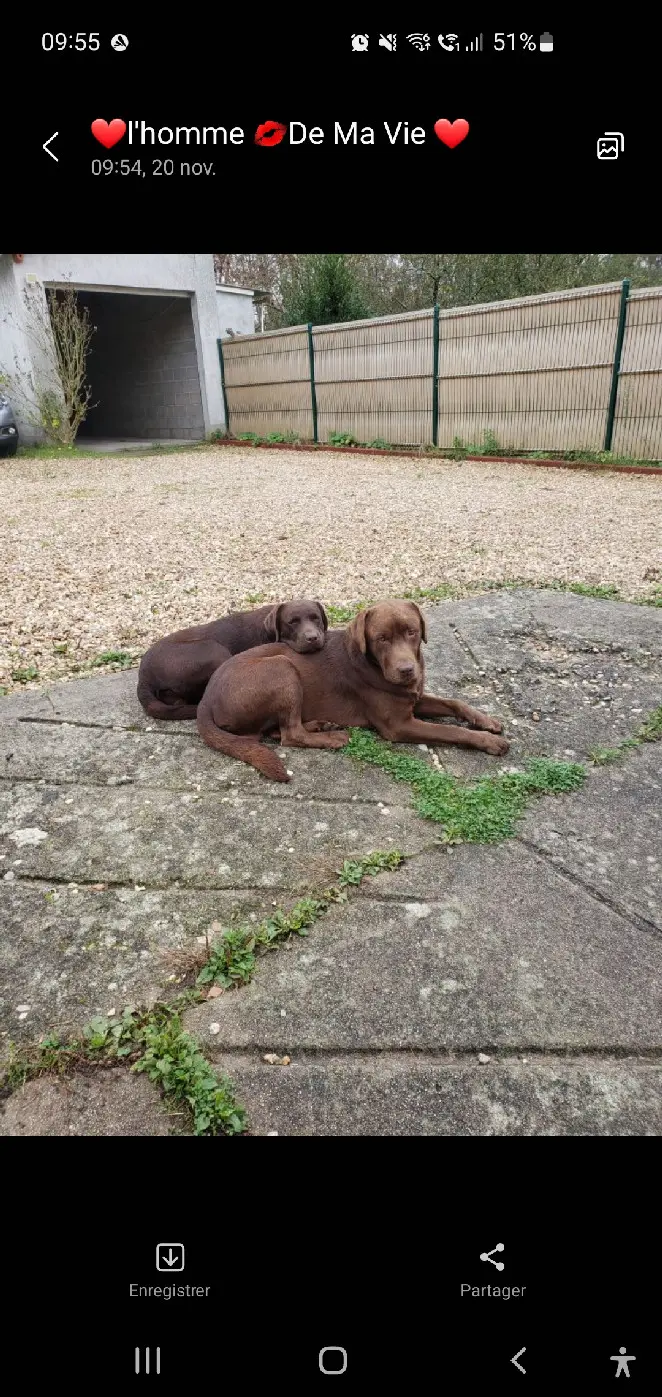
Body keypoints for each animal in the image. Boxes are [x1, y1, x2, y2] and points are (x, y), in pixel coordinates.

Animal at [195, 597, 505, 782]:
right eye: (381, 638)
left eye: (412, 632)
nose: (407, 670)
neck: (374, 664)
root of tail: (205, 701)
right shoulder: (399, 724)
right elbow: (451, 730)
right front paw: (488, 741)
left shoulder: (413, 699)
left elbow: (455, 703)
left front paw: (486, 720)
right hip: (282, 668)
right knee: (289, 735)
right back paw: (333, 737)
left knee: (276, 730)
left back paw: (320, 725)